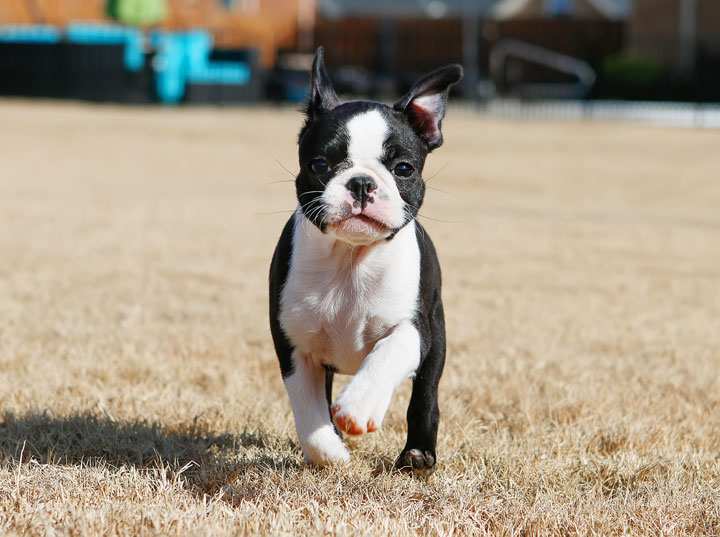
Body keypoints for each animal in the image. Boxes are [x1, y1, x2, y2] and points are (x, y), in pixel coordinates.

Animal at [268, 49, 462, 478]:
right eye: (320, 165)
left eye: (404, 169)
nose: (360, 182)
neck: (350, 259)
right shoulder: (294, 346)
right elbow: (310, 413)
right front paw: (331, 452)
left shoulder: (415, 329)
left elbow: (388, 352)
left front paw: (359, 405)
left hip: (437, 339)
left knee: (425, 397)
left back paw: (418, 454)